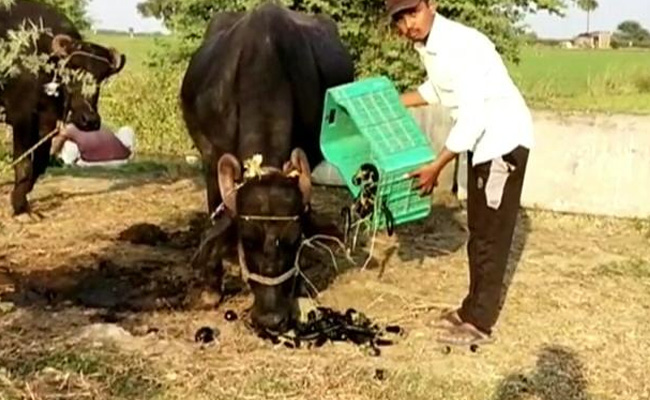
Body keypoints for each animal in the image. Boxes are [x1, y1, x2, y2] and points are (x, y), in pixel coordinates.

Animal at [0, 0, 126, 215]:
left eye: (101, 78)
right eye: (73, 70)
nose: (89, 120)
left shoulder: (48, 120)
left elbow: (40, 162)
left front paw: (23, 198)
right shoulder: (22, 116)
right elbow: (23, 163)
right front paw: (19, 208)